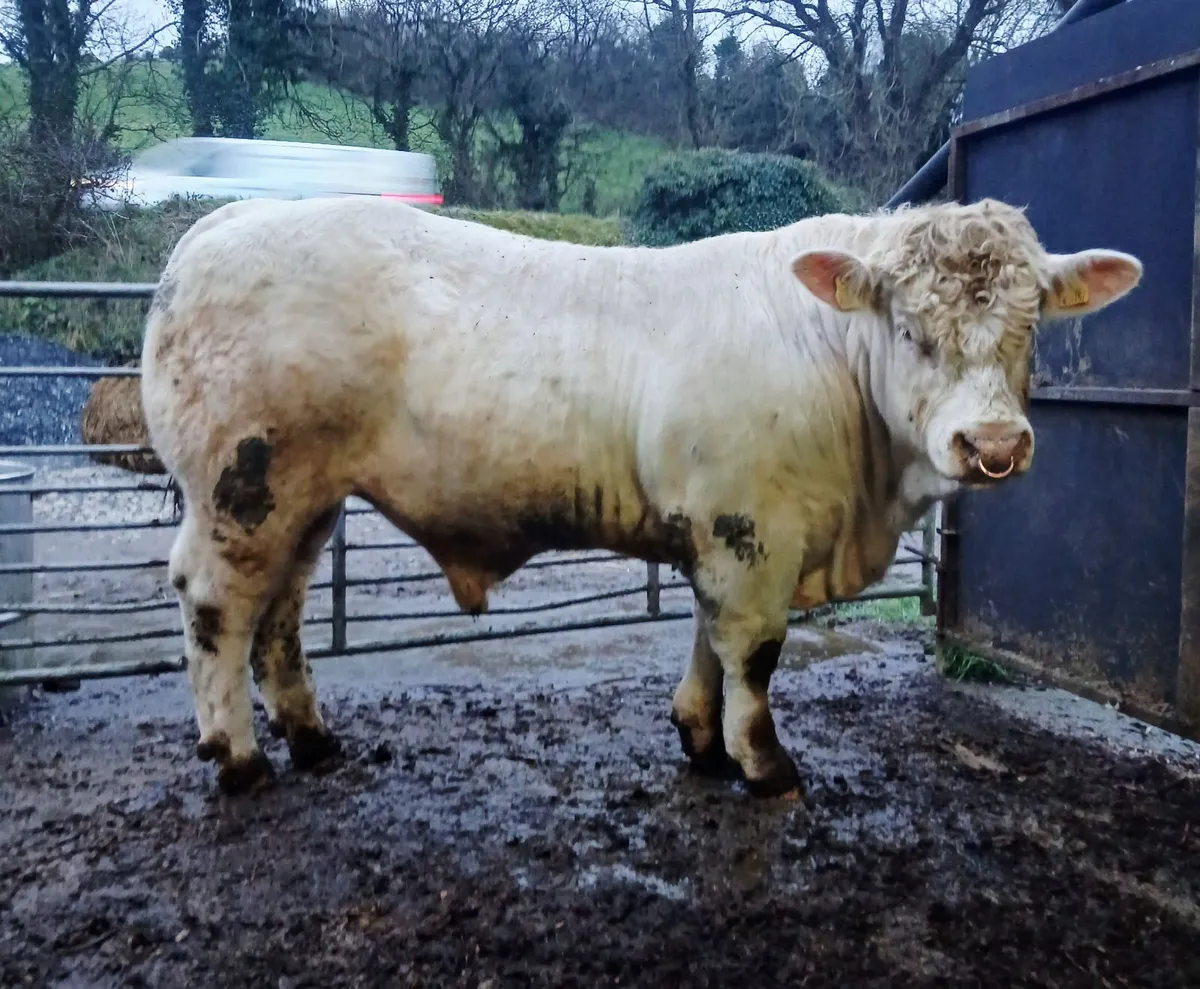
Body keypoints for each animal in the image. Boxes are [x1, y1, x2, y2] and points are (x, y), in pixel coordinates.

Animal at [140, 195, 1142, 798]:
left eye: (1030, 326)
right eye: (909, 328)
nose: (995, 445)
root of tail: (217, 227)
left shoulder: (722, 528)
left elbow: (708, 638)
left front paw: (700, 738)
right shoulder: (749, 531)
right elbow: (754, 653)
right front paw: (763, 761)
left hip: (304, 500)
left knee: (280, 612)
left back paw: (312, 736)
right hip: (243, 488)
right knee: (217, 605)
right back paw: (238, 754)